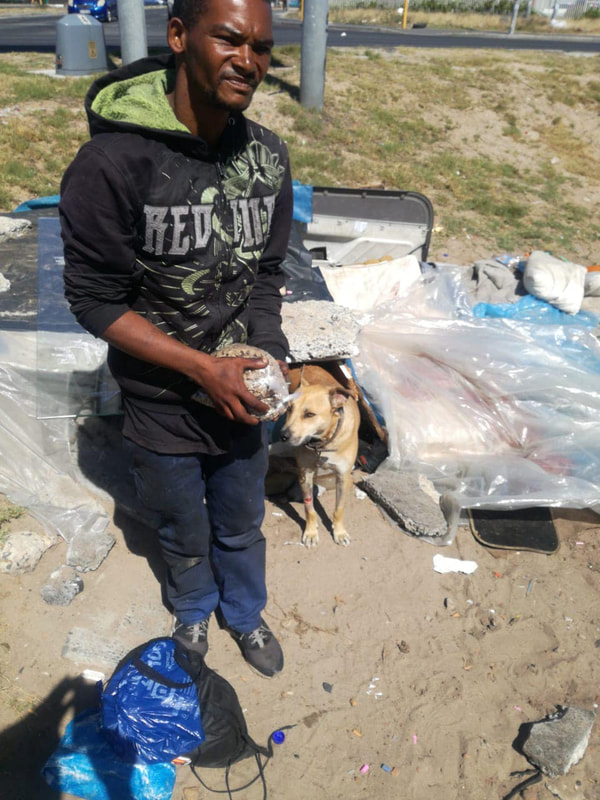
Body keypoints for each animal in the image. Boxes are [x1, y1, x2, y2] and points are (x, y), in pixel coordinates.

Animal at [279, 365, 360, 547]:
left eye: (309, 414)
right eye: (289, 409)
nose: (283, 436)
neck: (322, 443)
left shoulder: (343, 476)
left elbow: (339, 508)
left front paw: (339, 532)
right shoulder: (305, 473)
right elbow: (309, 508)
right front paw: (310, 532)